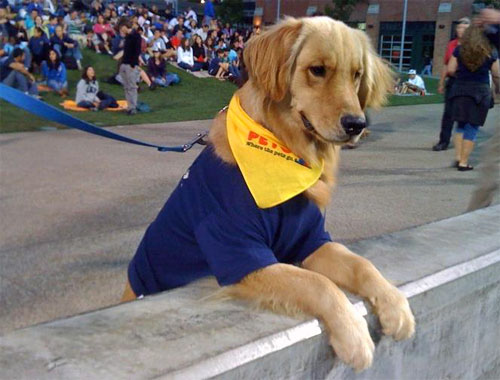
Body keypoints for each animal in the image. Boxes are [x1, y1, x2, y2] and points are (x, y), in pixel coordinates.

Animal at [123, 17, 416, 372]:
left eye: (357, 74)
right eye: (317, 70)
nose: (356, 124)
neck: (284, 153)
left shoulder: (312, 240)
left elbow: (362, 265)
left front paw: (395, 305)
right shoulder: (241, 253)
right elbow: (318, 283)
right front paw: (353, 336)